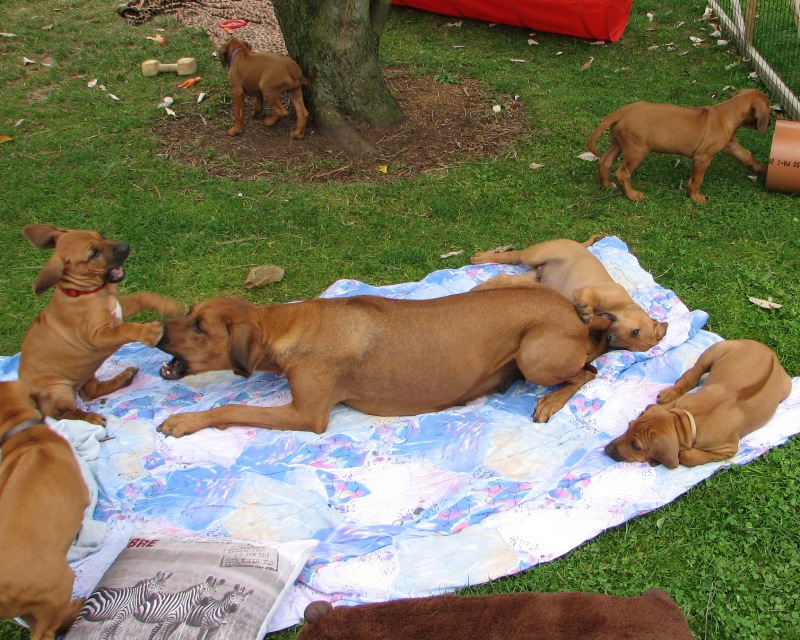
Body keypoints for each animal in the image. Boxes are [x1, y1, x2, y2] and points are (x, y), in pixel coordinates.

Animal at [18, 224, 183, 425]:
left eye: (100, 235)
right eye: (94, 253)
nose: (126, 246)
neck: (89, 292)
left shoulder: (120, 308)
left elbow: (141, 297)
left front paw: (167, 305)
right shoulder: (98, 337)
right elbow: (126, 328)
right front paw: (150, 331)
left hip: (86, 373)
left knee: (90, 392)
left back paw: (124, 378)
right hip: (58, 389)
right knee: (63, 412)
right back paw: (91, 417)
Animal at [155, 286, 595, 436]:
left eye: (199, 326)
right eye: (190, 311)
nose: (157, 331)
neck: (284, 324)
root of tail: (571, 310)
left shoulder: (307, 415)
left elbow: (231, 407)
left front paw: (185, 421)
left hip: (536, 358)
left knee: (589, 371)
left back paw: (550, 401)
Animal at [587, 89, 771, 202]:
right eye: (769, 109)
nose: (769, 124)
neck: (726, 113)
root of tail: (622, 111)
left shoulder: (731, 146)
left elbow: (747, 156)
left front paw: (762, 168)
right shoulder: (703, 158)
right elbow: (697, 179)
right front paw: (696, 197)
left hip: (617, 143)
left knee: (604, 162)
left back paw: (607, 185)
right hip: (636, 150)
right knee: (622, 172)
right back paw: (632, 195)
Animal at [605, 339, 792, 468]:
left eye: (636, 446)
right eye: (629, 425)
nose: (606, 449)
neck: (688, 421)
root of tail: (771, 353)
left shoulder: (728, 449)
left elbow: (686, 456)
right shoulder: (683, 401)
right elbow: (663, 408)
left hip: (787, 388)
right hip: (716, 350)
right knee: (694, 373)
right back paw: (669, 392)